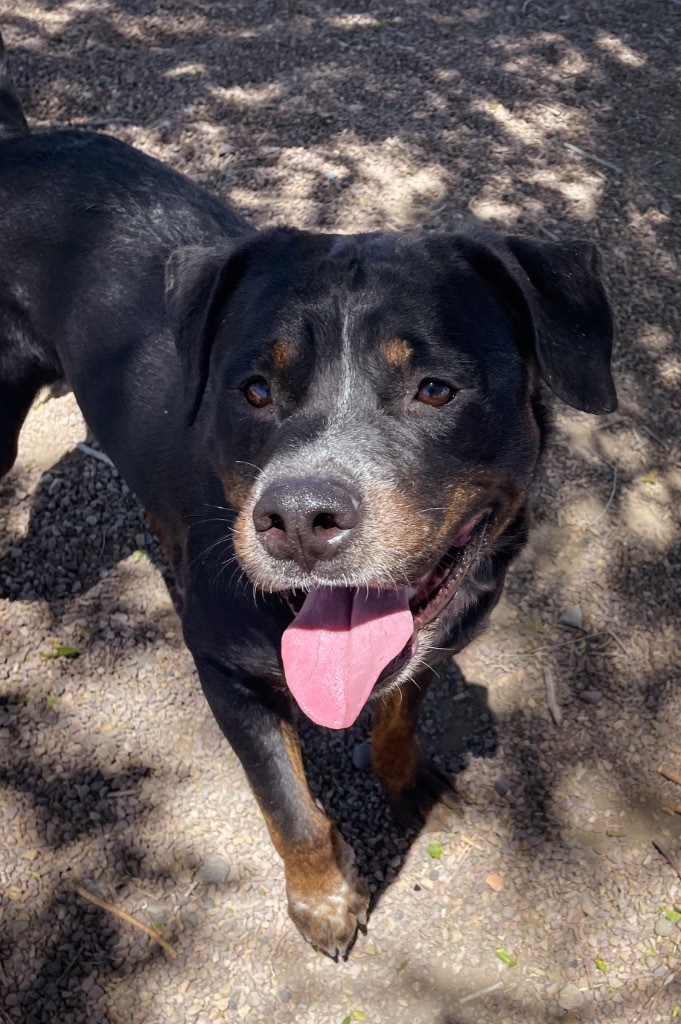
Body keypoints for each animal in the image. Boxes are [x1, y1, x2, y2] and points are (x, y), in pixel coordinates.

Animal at [0, 36, 614, 954]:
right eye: (253, 390)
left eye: (435, 389)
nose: (297, 519)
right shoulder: (229, 675)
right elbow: (287, 808)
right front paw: (323, 900)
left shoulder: (430, 635)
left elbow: (400, 708)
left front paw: (408, 780)